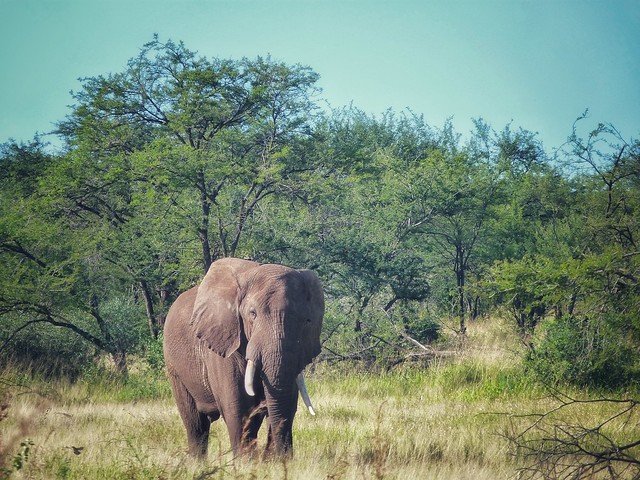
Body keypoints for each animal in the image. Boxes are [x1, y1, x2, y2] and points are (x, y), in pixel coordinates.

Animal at [164, 256, 324, 460]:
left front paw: (274, 462)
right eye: (252, 314)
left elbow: (287, 401)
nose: (282, 457)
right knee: (195, 424)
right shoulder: (223, 343)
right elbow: (237, 408)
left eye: (306, 321)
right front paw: (245, 463)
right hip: (174, 368)